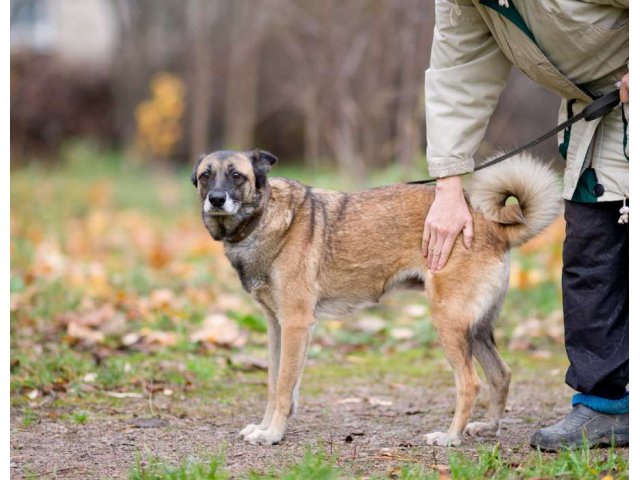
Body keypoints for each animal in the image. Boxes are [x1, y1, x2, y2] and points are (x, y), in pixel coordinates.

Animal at [191, 149, 560, 446]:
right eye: (206, 175)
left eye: (237, 176)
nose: (217, 199)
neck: (264, 217)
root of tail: (493, 226)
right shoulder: (277, 326)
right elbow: (274, 383)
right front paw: (265, 427)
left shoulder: (295, 324)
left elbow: (283, 387)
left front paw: (273, 434)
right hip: (476, 330)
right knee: (501, 375)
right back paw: (488, 428)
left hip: (449, 322)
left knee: (470, 383)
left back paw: (450, 437)